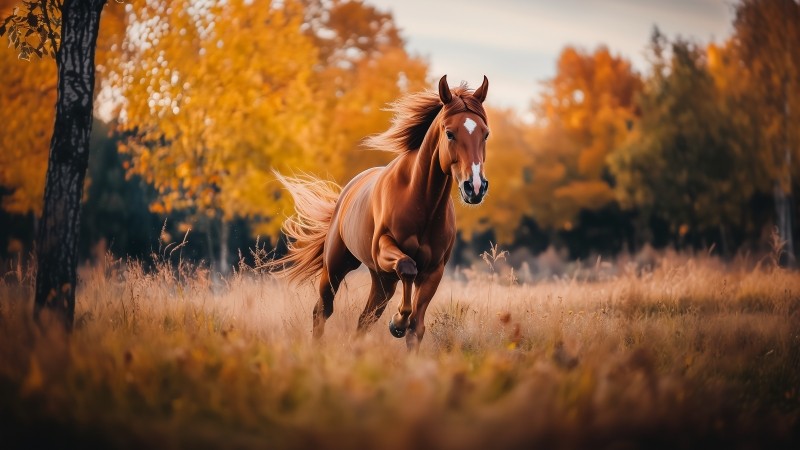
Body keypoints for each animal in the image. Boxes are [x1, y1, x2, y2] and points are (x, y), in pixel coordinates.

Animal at [270, 75, 490, 350]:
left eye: (485, 134)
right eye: (449, 133)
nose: (475, 187)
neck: (421, 203)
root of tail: (346, 192)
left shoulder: (434, 271)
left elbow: (416, 327)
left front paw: (402, 327)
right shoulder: (385, 248)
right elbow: (407, 267)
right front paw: (397, 322)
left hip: (382, 281)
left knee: (365, 319)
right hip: (337, 267)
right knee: (323, 309)